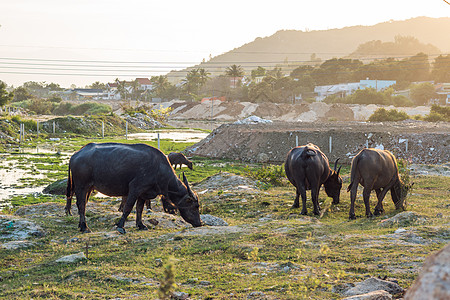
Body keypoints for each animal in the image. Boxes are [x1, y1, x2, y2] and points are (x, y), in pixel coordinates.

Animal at [65, 142, 202, 233]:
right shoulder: (135, 189)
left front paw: (141, 225)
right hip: (81, 186)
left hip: (89, 187)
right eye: (195, 206)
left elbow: (140, 209)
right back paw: (84, 227)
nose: (199, 224)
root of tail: (76, 154)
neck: (159, 169)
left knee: (83, 204)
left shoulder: (144, 194)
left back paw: (81, 225)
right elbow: (128, 207)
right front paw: (121, 226)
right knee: (81, 204)